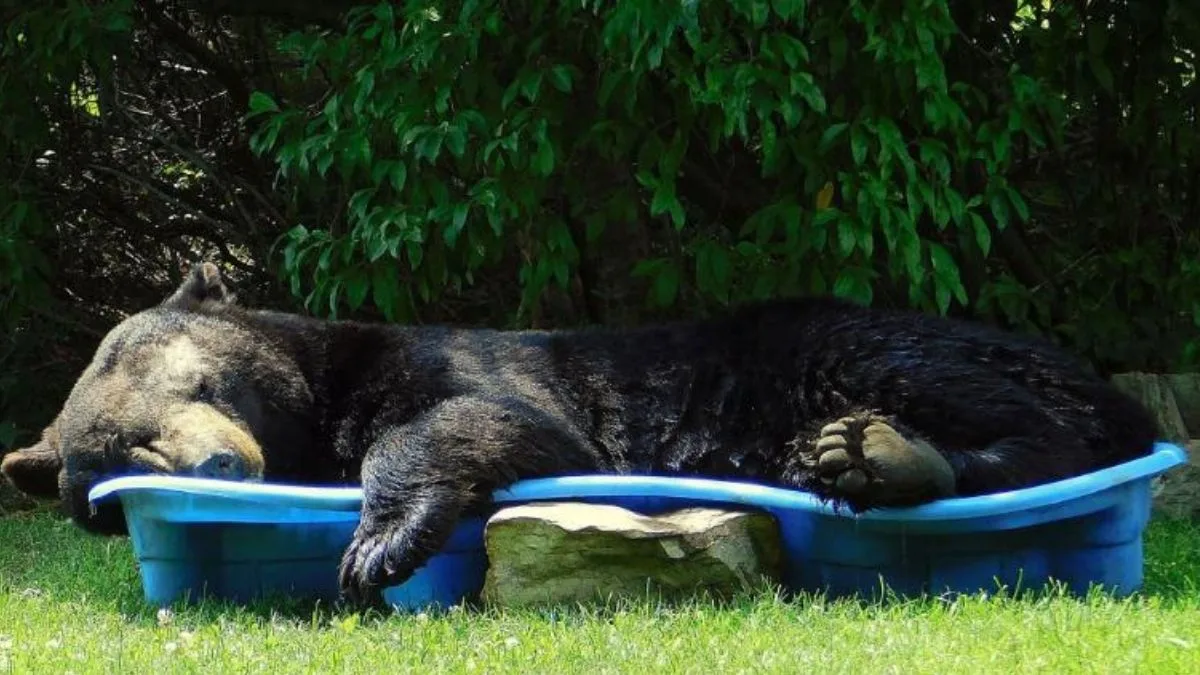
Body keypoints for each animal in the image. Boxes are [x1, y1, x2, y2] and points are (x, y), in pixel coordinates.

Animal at [0, 260, 1161, 600]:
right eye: (109, 469)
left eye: (196, 386)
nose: (216, 464)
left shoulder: (452, 361)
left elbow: (490, 419)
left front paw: (379, 542)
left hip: (856, 342)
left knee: (1011, 408)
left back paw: (879, 449)